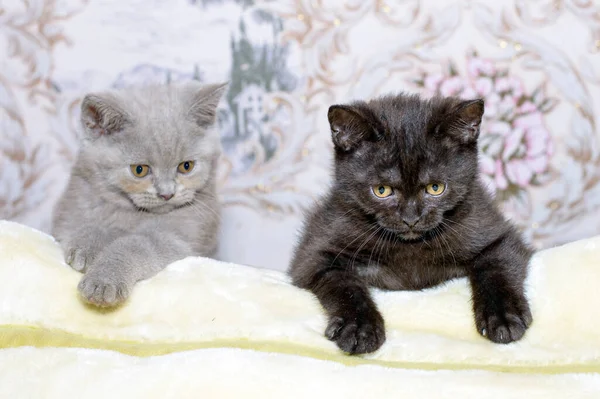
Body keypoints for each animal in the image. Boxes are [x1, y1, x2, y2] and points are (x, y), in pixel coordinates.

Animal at [50, 80, 225, 306]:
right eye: (139, 170)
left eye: (186, 166)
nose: (167, 194)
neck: (133, 214)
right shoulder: (69, 212)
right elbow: (84, 225)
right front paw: (88, 246)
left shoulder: (181, 238)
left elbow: (136, 243)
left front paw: (103, 280)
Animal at [288, 94, 532, 356]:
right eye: (381, 190)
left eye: (435, 188)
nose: (411, 218)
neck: (409, 246)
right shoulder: (314, 252)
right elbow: (344, 283)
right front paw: (359, 327)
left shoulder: (496, 233)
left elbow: (495, 268)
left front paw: (504, 317)